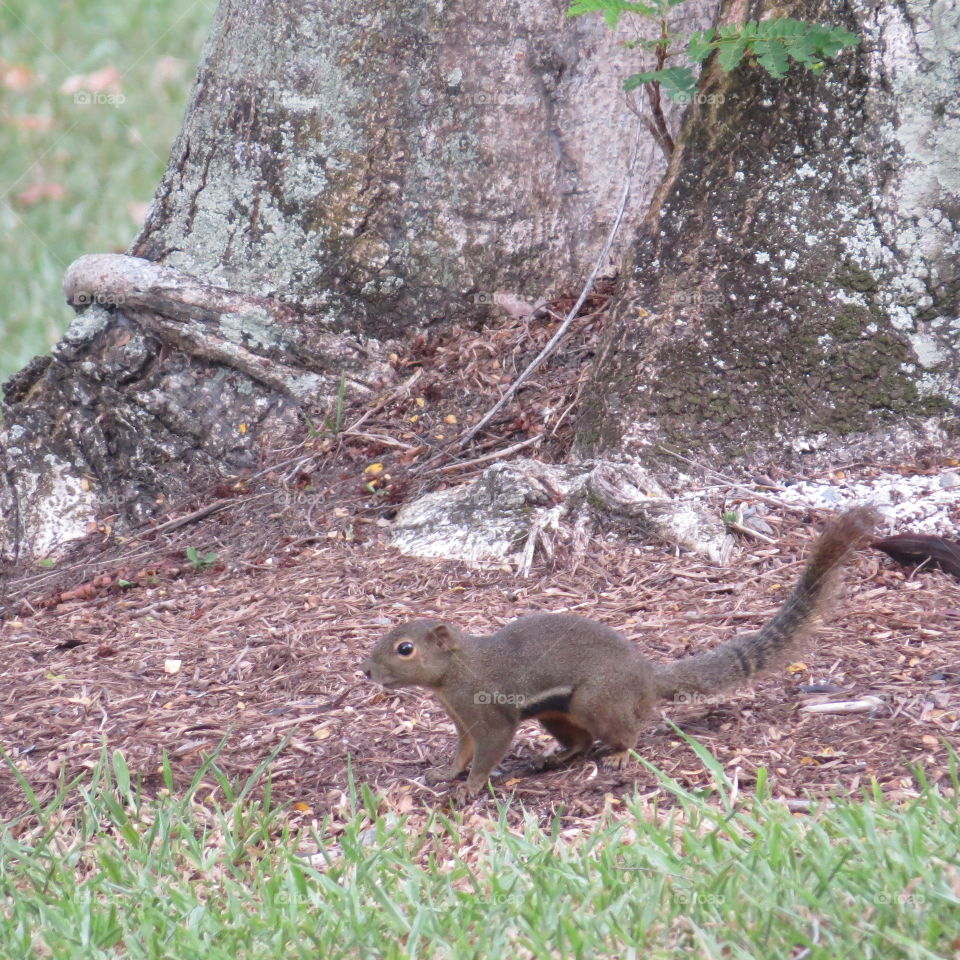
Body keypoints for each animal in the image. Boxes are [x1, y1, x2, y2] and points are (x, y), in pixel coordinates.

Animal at [363, 506, 876, 797]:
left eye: (405, 648)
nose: (367, 671)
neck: (458, 671)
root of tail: (646, 677)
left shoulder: (488, 714)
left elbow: (488, 750)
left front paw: (469, 788)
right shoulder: (462, 719)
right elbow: (463, 749)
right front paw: (444, 774)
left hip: (597, 700)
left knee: (623, 733)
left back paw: (619, 757)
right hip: (558, 712)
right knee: (580, 741)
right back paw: (554, 758)